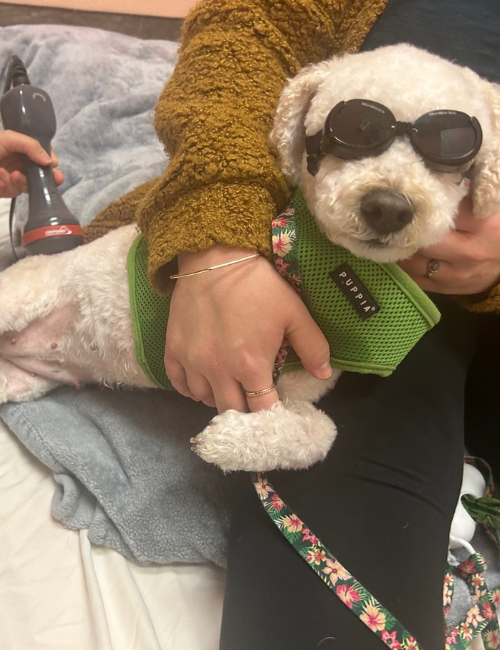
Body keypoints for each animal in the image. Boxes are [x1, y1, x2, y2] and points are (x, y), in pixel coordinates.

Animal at [0, 44, 500, 470]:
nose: (389, 206)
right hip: (19, 298)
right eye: (357, 129)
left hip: (21, 381)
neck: (298, 268)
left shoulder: (295, 387)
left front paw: (233, 440)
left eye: (452, 151)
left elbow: (321, 434)